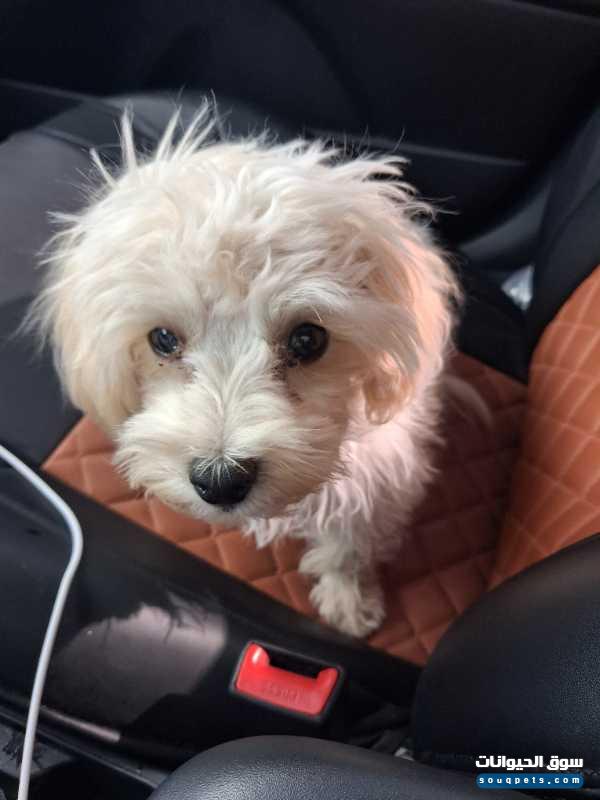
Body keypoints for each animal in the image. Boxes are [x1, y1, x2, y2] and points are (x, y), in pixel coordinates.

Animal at [30, 104, 459, 637]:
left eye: (308, 339)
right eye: (162, 339)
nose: (220, 482)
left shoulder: (382, 470)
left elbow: (351, 537)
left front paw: (348, 599)